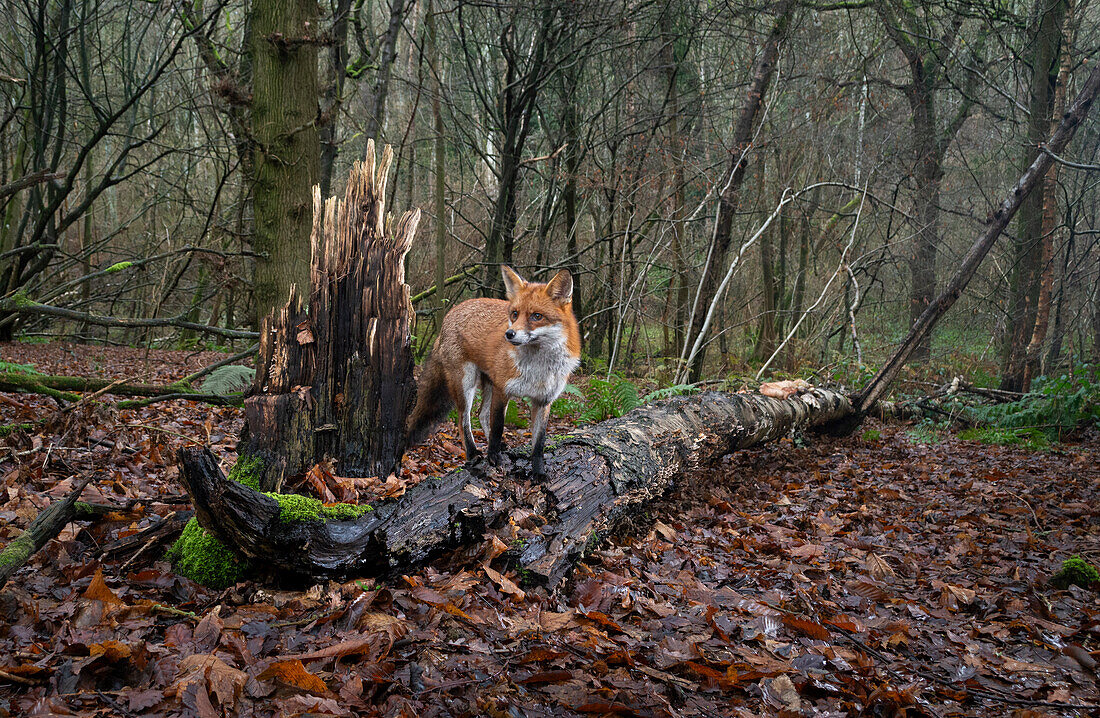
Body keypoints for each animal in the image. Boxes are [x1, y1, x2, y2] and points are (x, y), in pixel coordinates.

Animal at [409, 266, 585, 472]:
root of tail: (449, 315)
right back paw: (472, 453)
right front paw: (493, 456)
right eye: (515, 314)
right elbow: (498, 426)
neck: (538, 368)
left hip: (487, 383)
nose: (509, 334)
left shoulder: (543, 400)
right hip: (466, 382)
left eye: (537, 316)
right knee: (464, 419)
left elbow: (539, 442)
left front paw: (539, 472)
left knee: (481, 415)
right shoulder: (503, 389)